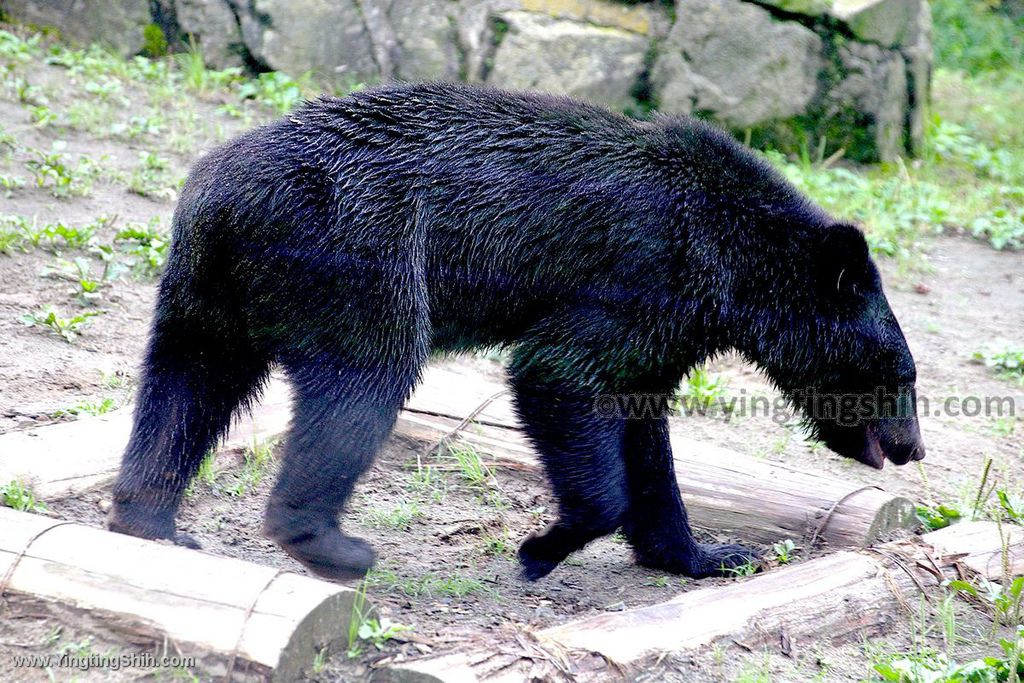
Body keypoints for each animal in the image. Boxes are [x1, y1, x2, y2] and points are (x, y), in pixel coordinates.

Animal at [108, 81, 925, 581]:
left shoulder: (670, 326)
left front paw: (707, 553)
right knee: (362, 384)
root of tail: (222, 193)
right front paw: (541, 546)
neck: (734, 263)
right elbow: (556, 372)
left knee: (186, 386)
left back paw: (151, 519)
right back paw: (332, 544)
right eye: (903, 375)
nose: (913, 448)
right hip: (358, 259)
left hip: (208, 289)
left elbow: (645, 430)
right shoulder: (645, 274)